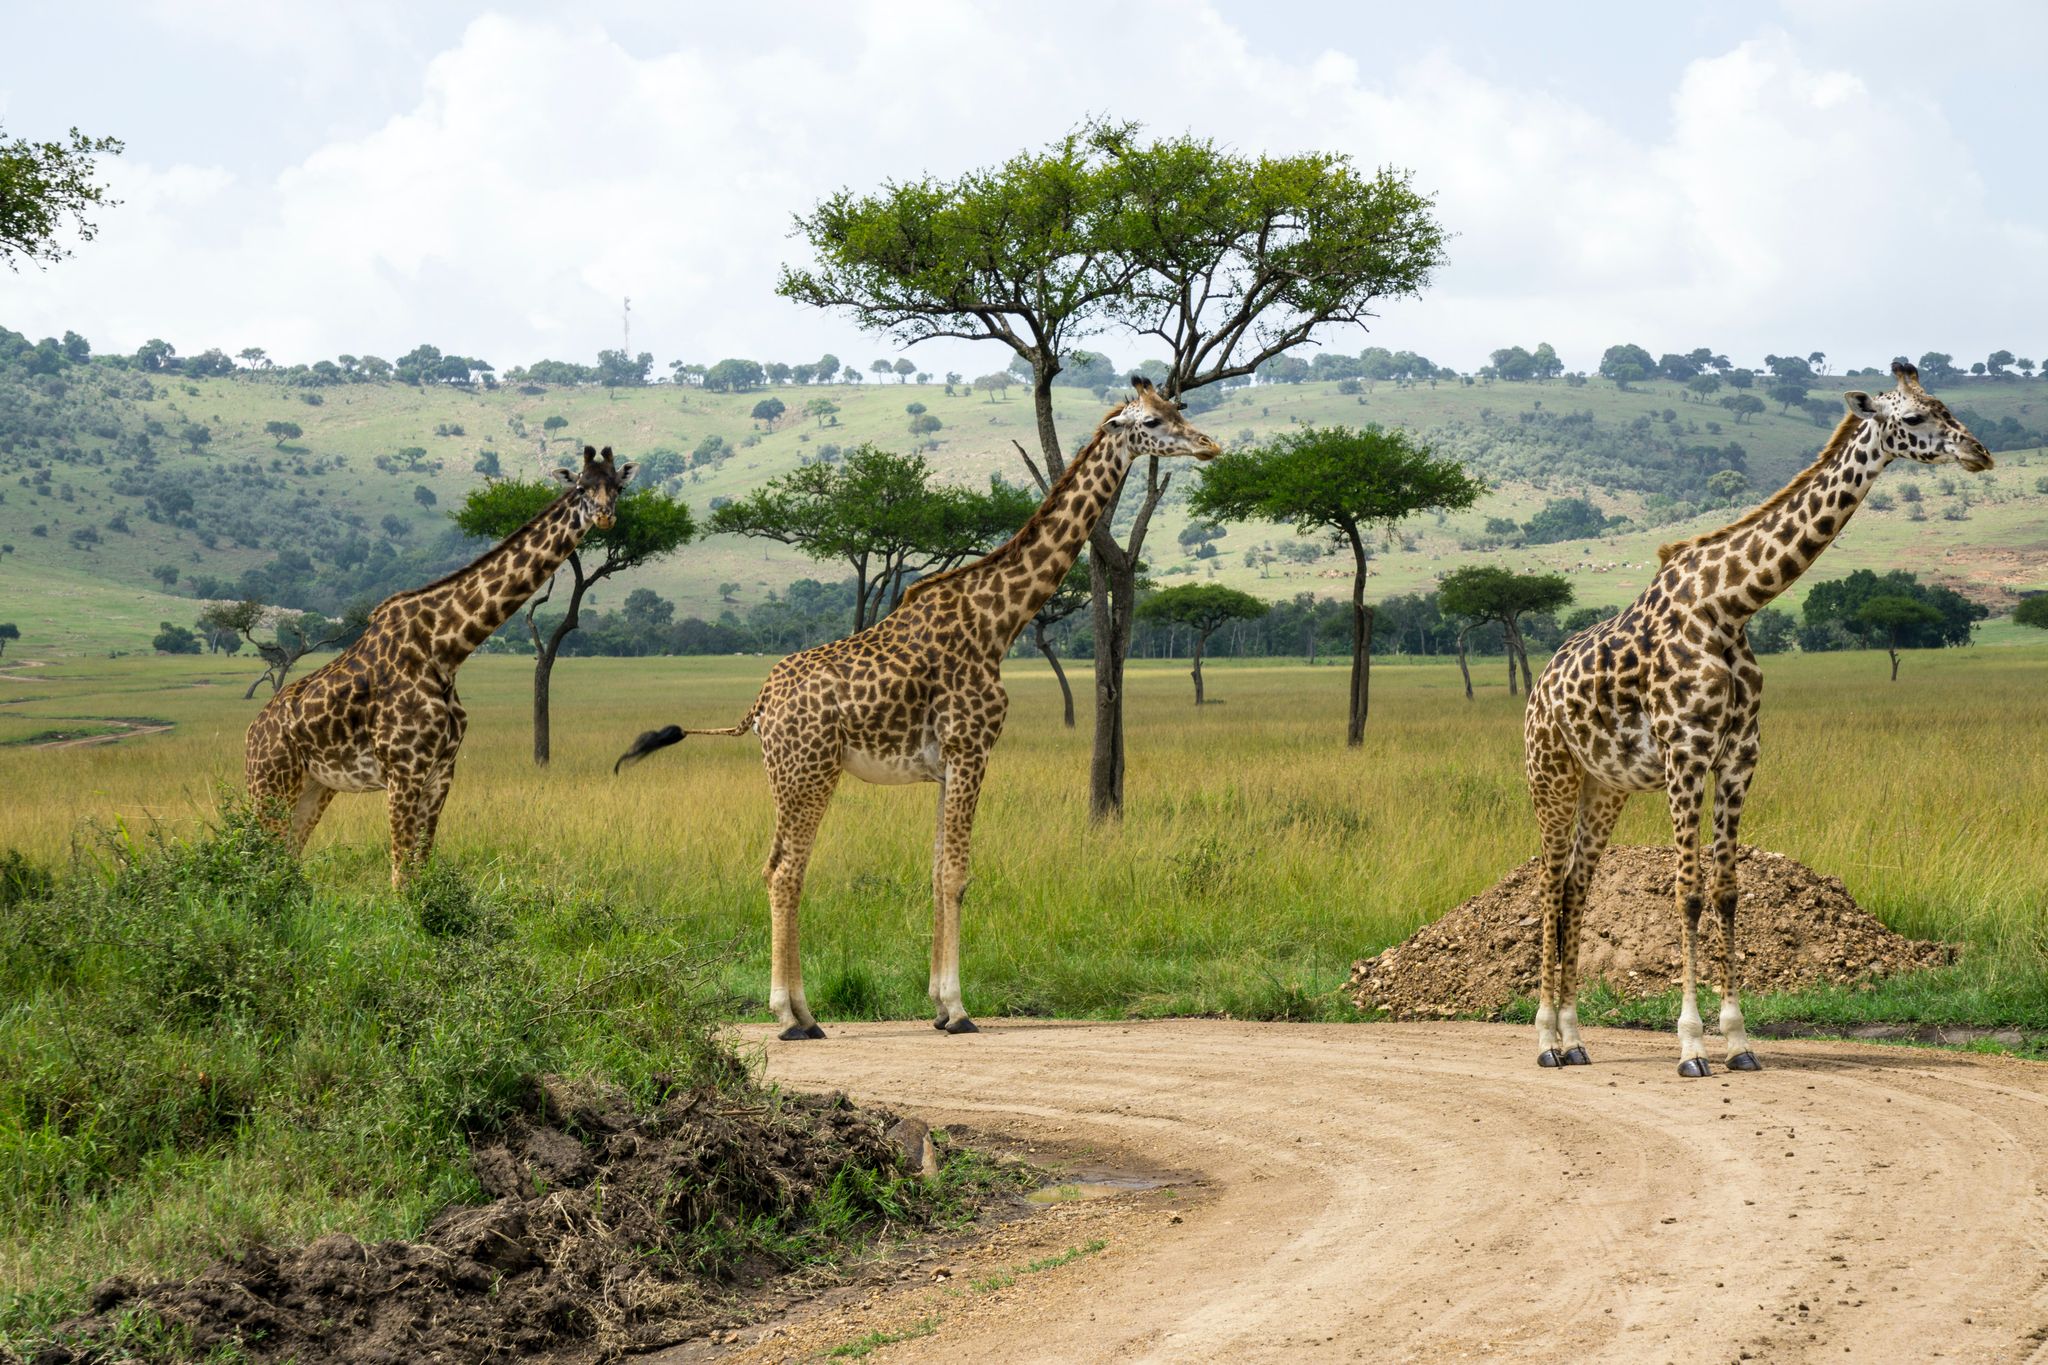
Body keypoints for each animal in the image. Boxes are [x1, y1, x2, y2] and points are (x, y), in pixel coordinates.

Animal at [244, 444, 634, 879]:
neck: (445, 649)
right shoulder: (404, 771)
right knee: (256, 858)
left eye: (618, 486)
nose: (605, 515)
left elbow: (422, 869)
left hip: (315, 786)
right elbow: (401, 876)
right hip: (271, 781)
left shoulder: (441, 772)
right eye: (581, 487)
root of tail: (251, 734)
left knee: (285, 859)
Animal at [606, 378, 1212, 1039]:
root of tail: (760, 703)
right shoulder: (972, 749)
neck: (1000, 620)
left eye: (1179, 409)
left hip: (785, 777)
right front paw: (960, 1009)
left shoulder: (945, 766)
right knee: (788, 872)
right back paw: (791, 1017)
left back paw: (806, 1014)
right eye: (1153, 420)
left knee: (773, 867)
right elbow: (957, 875)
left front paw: (939, 1007)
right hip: (809, 772)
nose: (1209, 446)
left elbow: (936, 871)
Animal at [1531, 362, 1990, 1080]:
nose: (1979, 453)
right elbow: (1687, 891)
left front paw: (1738, 1040)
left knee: (1578, 883)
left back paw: (1577, 1038)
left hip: (1604, 786)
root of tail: (1538, 689)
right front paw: (1691, 1046)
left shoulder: (1739, 756)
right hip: (1551, 774)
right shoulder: (1686, 753)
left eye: (1947, 406)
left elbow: (1726, 890)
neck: (1732, 605)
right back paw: (1545, 1039)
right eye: (1915, 418)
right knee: (1549, 886)